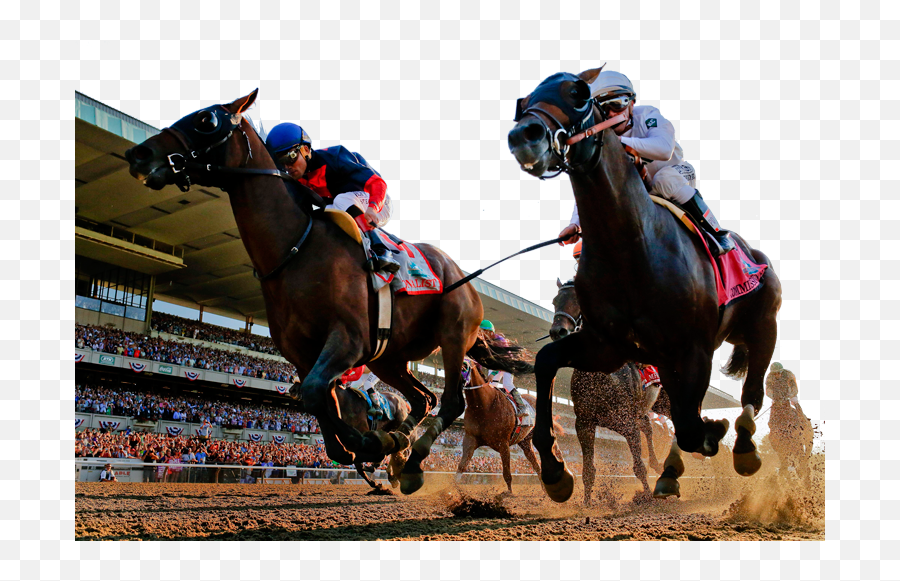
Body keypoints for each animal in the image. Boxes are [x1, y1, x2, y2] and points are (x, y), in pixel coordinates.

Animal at [544, 280, 672, 502]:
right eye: (554, 300)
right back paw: (657, 463)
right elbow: (588, 470)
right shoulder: (584, 423)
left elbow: (638, 467)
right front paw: (587, 504)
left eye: (578, 299)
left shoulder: (627, 423)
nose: (557, 331)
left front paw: (648, 499)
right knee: (648, 427)